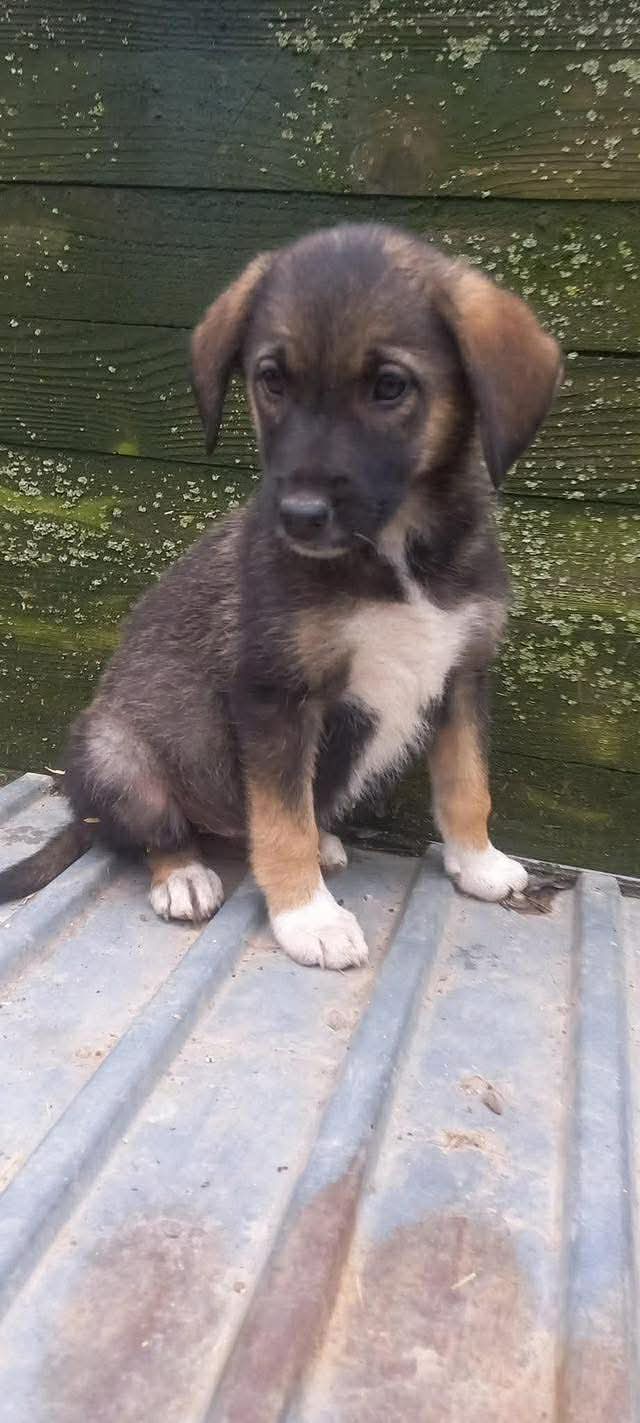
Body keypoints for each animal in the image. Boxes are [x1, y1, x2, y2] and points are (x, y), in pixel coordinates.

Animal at [0, 224, 562, 968]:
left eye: (390, 386)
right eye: (271, 380)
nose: (298, 516)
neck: (395, 554)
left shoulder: (463, 675)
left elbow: (467, 783)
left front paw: (478, 862)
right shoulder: (274, 696)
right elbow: (279, 817)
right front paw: (306, 916)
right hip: (115, 750)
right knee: (153, 830)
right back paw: (183, 875)